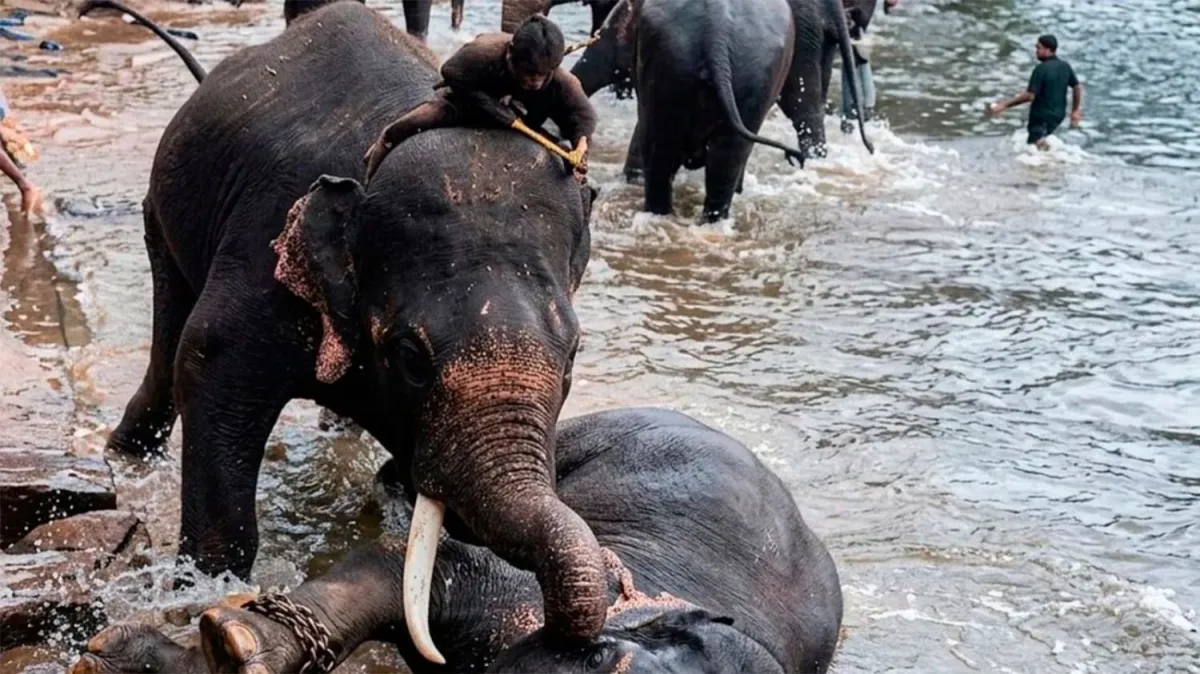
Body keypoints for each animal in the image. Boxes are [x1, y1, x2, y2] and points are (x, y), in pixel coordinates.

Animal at [92, 0, 609, 651]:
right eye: (411, 358)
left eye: (573, 357)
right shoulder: (265, 250)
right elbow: (209, 364)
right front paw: (202, 593)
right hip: (162, 209)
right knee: (170, 332)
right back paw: (129, 452)